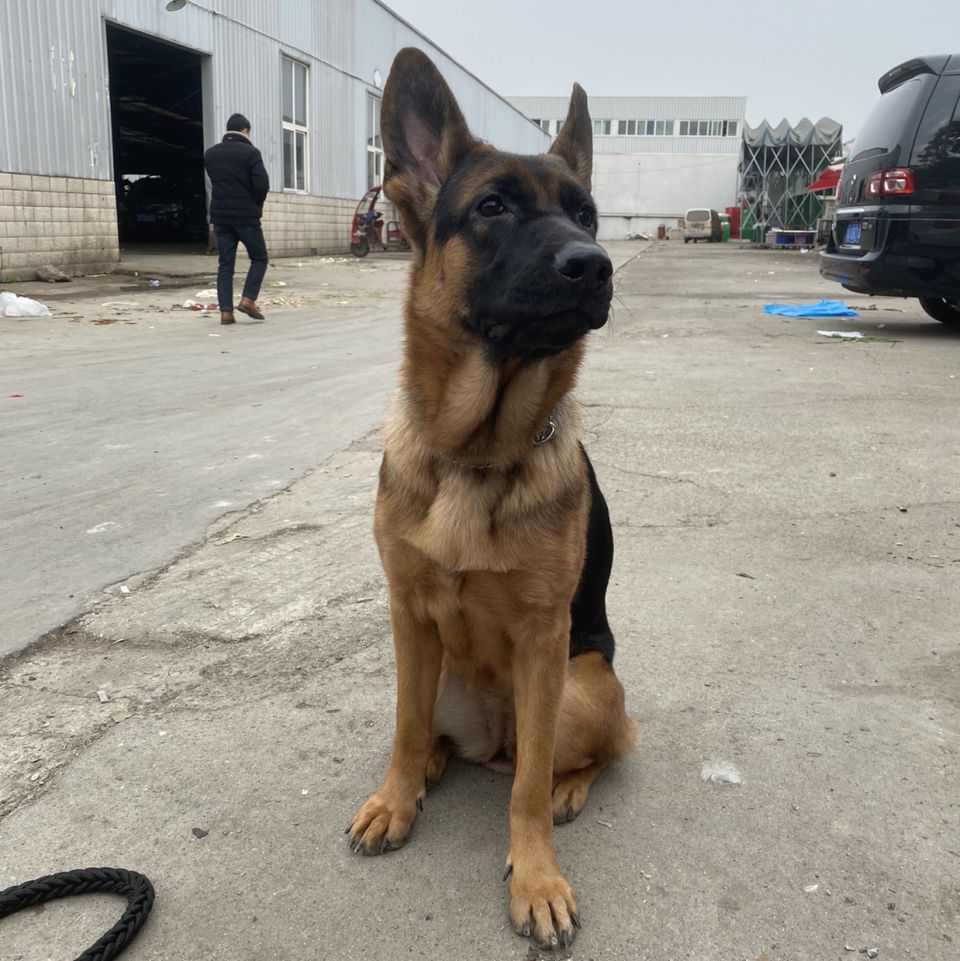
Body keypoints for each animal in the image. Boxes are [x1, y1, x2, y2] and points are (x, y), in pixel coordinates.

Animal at [347, 47, 637, 949]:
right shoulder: (407, 612)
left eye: (586, 212)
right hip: (435, 669)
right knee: (431, 731)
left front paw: (536, 877)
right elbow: (403, 729)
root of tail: (489, 738)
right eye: (492, 206)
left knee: (579, 752)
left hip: (582, 684)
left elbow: (527, 789)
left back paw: (568, 786)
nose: (594, 264)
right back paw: (429, 770)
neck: (477, 452)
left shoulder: (545, 640)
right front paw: (396, 798)